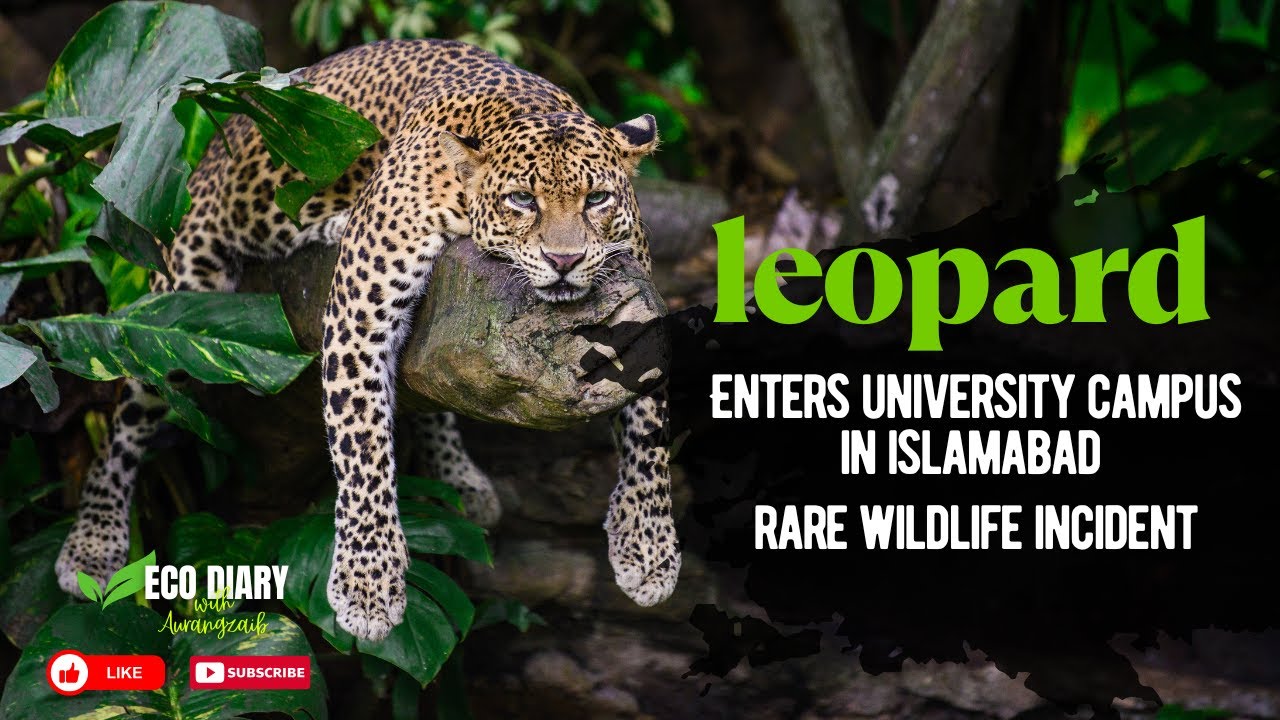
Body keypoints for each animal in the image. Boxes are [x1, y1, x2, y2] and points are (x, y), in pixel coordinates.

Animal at [53, 38, 681, 641]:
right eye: (522, 200)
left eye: (597, 199)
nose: (564, 260)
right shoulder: (360, 315)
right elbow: (362, 448)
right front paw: (367, 585)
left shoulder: (643, 309)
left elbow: (649, 431)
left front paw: (648, 547)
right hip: (181, 290)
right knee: (127, 414)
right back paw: (92, 543)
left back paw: (460, 477)